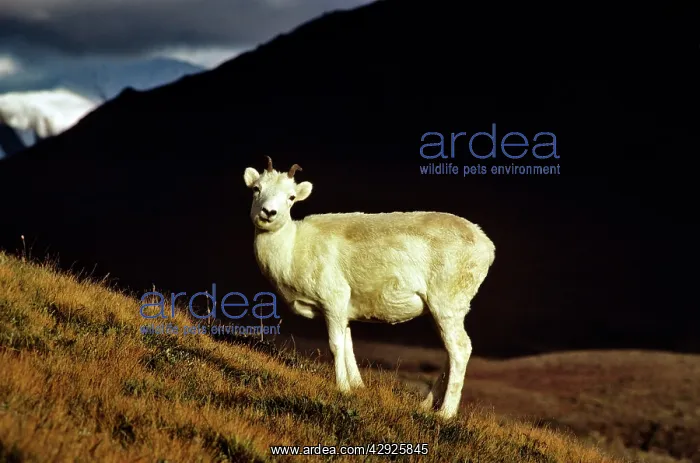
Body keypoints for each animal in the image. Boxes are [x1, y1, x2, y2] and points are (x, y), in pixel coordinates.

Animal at [243, 156, 495, 420]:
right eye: (257, 188)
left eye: (291, 197)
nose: (268, 213)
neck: (292, 248)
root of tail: (486, 245)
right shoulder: (342, 311)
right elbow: (348, 345)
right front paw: (357, 386)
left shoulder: (333, 302)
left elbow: (335, 345)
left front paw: (342, 389)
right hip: (442, 313)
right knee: (450, 352)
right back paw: (425, 406)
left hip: (446, 307)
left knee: (460, 349)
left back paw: (445, 414)